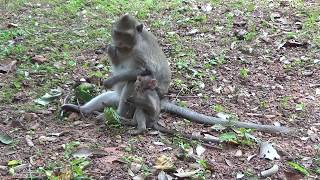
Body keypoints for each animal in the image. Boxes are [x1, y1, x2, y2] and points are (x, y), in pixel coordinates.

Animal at [61, 14, 294, 135]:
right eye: (117, 33)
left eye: (125, 35)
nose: (118, 42)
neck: (131, 46)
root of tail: (162, 100)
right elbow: (117, 61)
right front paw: (111, 51)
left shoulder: (140, 54)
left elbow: (143, 73)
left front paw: (112, 78)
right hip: (114, 99)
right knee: (108, 97)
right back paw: (81, 109)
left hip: (143, 99)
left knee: (132, 83)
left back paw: (118, 116)